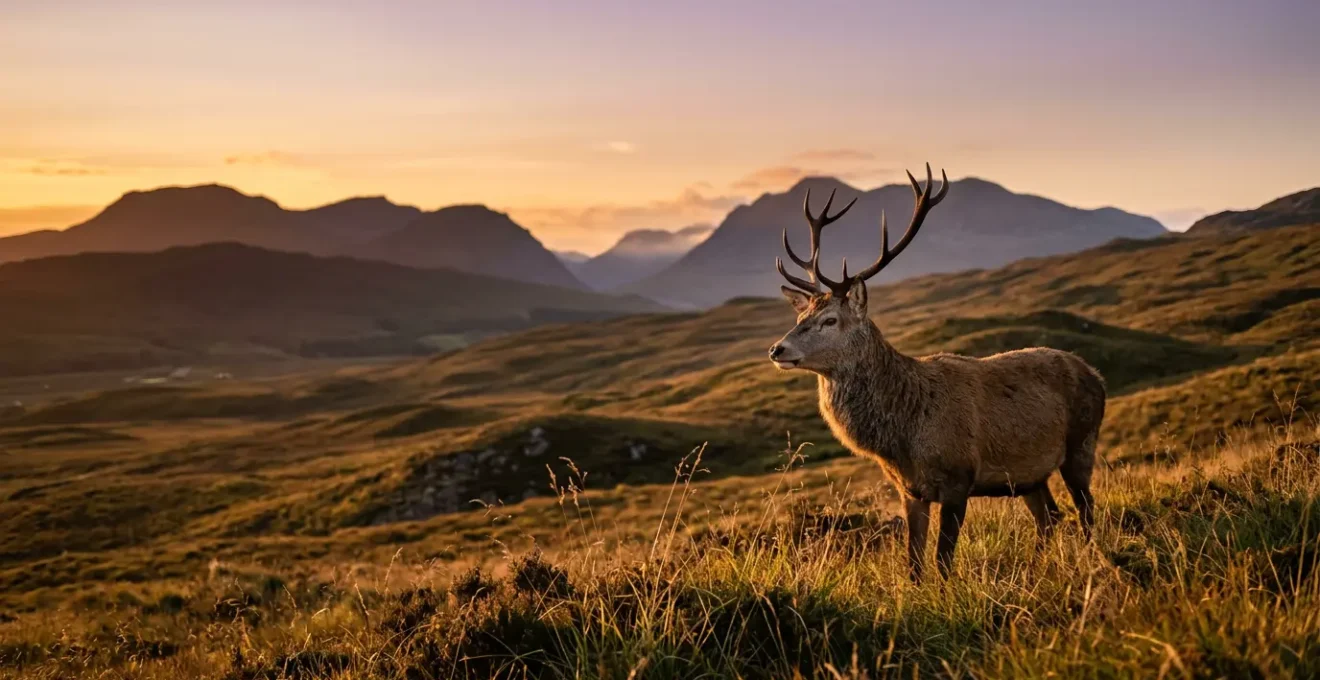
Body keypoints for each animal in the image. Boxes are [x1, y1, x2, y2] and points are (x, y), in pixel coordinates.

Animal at [768, 165, 1106, 582]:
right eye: (801, 317)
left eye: (830, 319)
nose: (777, 349)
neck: (904, 437)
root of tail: (1096, 375)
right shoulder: (910, 491)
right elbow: (913, 564)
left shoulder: (959, 477)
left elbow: (943, 561)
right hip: (1029, 476)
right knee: (1050, 518)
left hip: (1081, 443)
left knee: (1086, 511)